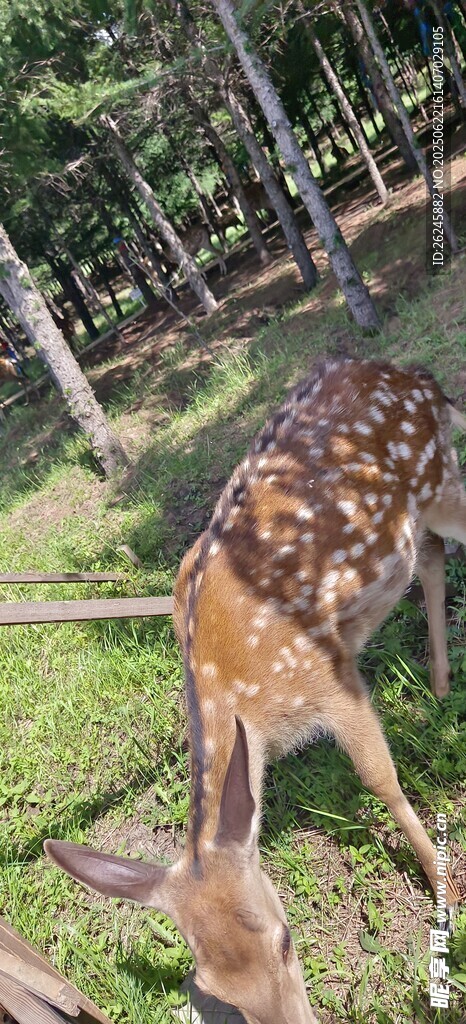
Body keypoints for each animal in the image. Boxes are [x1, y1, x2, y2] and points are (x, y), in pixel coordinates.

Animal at [45, 359, 464, 1024]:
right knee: (429, 554)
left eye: (287, 941)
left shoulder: (328, 673)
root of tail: (413, 375)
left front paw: (444, 889)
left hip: (439, 477)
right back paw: (442, 685)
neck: (243, 692)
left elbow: (380, 778)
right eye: (215, 989)